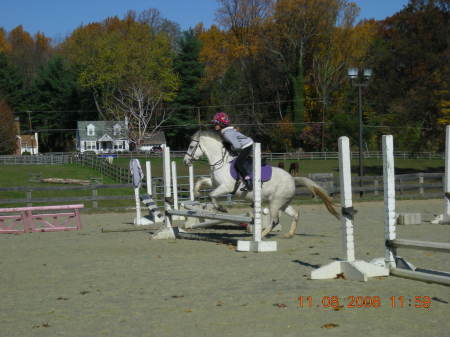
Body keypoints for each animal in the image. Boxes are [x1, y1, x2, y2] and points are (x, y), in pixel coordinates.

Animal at [183, 130, 338, 238]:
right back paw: (288, 234)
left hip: (275, 203)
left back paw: (261, 236)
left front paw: (221, 208)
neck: (220, 162)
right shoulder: (216, 184)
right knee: (295, 214)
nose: (185, 161)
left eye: (191, 146)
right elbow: (202, 181)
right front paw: (196, 193)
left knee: (274, 221)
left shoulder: (226, 187)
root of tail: (292, 179)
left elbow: (212, 195)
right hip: (283, 203)